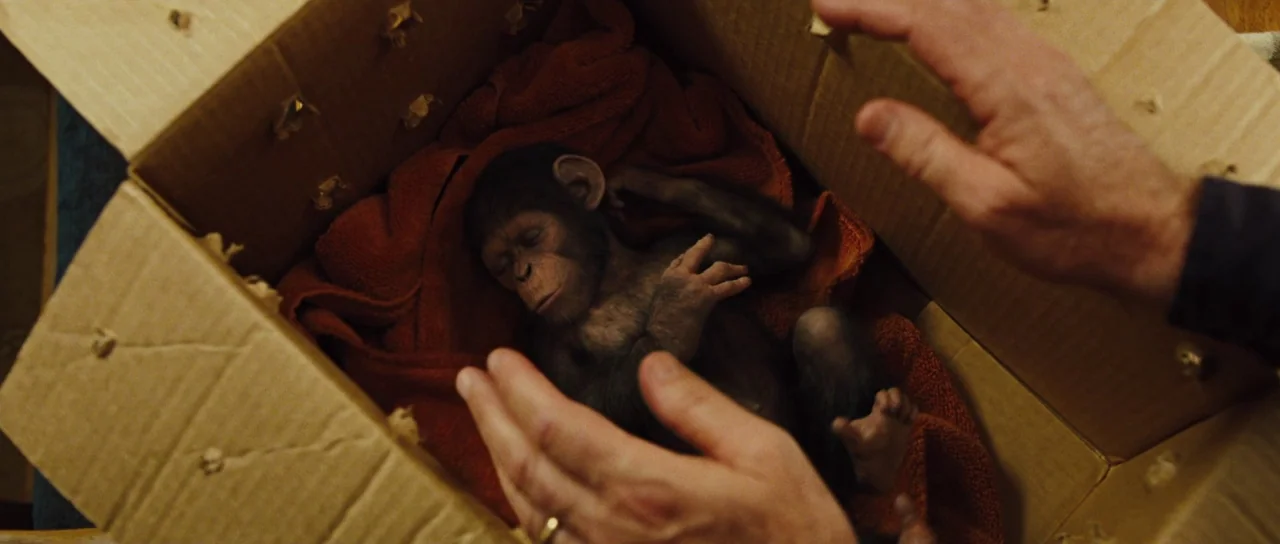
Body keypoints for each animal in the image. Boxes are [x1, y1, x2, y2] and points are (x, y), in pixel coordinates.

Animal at [463, 143, 917, 517]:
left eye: (532, 236)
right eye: (502, 264)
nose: (523, 274)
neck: (609, 281)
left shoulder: (694, 245)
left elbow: (792, 247)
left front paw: (639, 178)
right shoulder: (546, 341)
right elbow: (578, 413)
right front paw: (676, 308)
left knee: (823, 327)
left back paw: (875, 450)